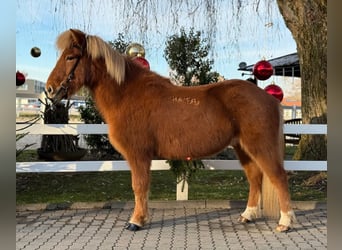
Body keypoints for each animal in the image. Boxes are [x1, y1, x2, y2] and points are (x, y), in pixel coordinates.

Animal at [45, 29, 296, 232]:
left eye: (70, 57)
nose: (50, 90)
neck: (127, 94)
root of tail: (269, 99)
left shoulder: (138, 156)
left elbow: (139, 187)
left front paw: (136, 221)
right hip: (242, 148)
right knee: (255, 178)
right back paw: (248, 215)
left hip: (260, 146)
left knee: (278, 177)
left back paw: (285, 223)